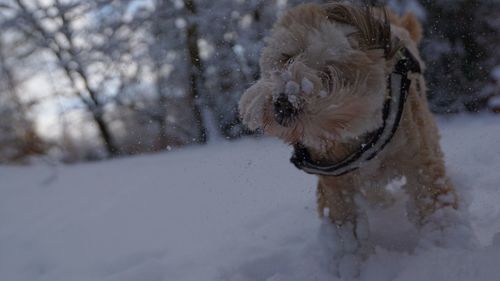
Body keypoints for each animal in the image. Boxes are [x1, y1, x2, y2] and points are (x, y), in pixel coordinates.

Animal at [240, 1, 458, 270]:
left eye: (330, 74)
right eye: (287, 57)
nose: (283, 103)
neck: (361, 138)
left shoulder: (419, 160)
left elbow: (433, 200)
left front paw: (444, 244)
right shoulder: (336, 182)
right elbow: (346, 226)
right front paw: (351, 263)